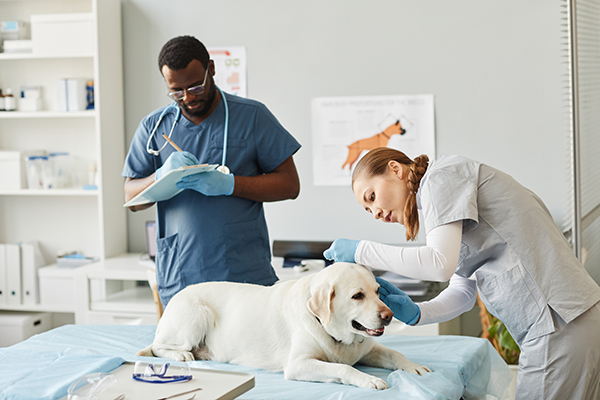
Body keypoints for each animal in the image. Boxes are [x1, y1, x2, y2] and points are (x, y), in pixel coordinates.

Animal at [138, 260, 432, 390]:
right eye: (357, 296)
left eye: (378, 292)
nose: (389, 315)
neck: (333, 333)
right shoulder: (299, 364)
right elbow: (342, 368)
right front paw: (368, 379)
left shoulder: (368, 349)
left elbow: (394, 353)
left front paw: (414, 367)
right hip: (197, 315)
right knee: (157, 347)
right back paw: (181, 354)